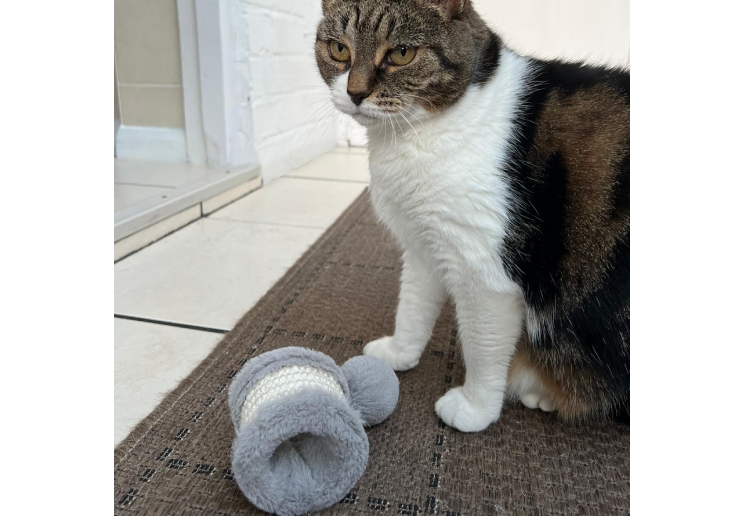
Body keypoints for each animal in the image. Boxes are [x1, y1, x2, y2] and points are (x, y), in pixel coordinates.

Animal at [312, 0, 628, 432]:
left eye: (402, 53)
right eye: (338, 49)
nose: (355, 93)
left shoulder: (483, 271)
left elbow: (482, 344)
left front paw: (475, 408)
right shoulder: (423, 245)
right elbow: (412, 306)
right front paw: (399, 352)